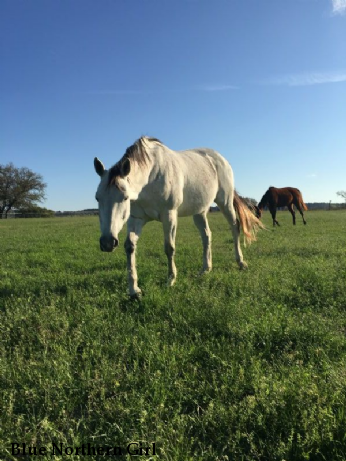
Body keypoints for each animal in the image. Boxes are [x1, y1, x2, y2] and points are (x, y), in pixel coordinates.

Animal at [93, 135, 264, 296]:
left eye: (125, 198)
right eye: (97, 198)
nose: (108, 242)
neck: (150, 178)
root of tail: (220, 158)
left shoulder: (169, 215)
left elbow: (169, 247)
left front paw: (171, 280)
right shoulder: (136, 219)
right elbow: (129, 246)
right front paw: (134, 290)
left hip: (225, 202)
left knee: (235, 227)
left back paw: (241, 262)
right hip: (199, 211)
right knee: (206, 235)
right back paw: (205, 269)